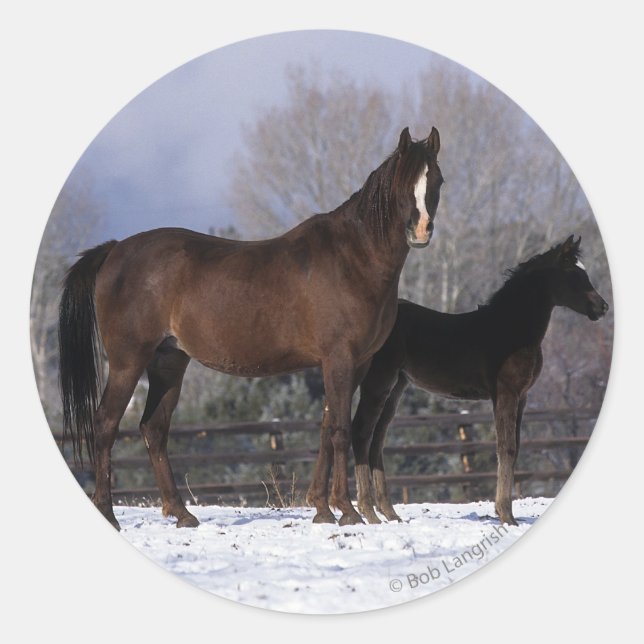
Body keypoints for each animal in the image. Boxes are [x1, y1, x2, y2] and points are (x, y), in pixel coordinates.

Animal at [58, 126, 443, 530]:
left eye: (436, 180)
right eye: (403, 183)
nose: (421, 231)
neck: (352, 258)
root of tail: (115, 250)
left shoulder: (356, 363)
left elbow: (326, 429)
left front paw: (322, 509)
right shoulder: (340, 358)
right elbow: (339, 430)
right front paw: (347, 511)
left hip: (169, 361)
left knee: (154, 429)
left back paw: (182, 514)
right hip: (128, 361)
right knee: (105, 425)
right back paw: (108, 513)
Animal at [351, 235, 608, 525]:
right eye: (573, 274)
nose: (602, 307)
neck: (512, 329)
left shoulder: (522, 397)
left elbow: (515, 447)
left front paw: (506, 512)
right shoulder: (505, 394)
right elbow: (506, 448)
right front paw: (506, 515)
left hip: (396, 387)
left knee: (377, 440)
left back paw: (389, 513)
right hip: (378, 381)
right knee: (361, 432)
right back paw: (368, 512)